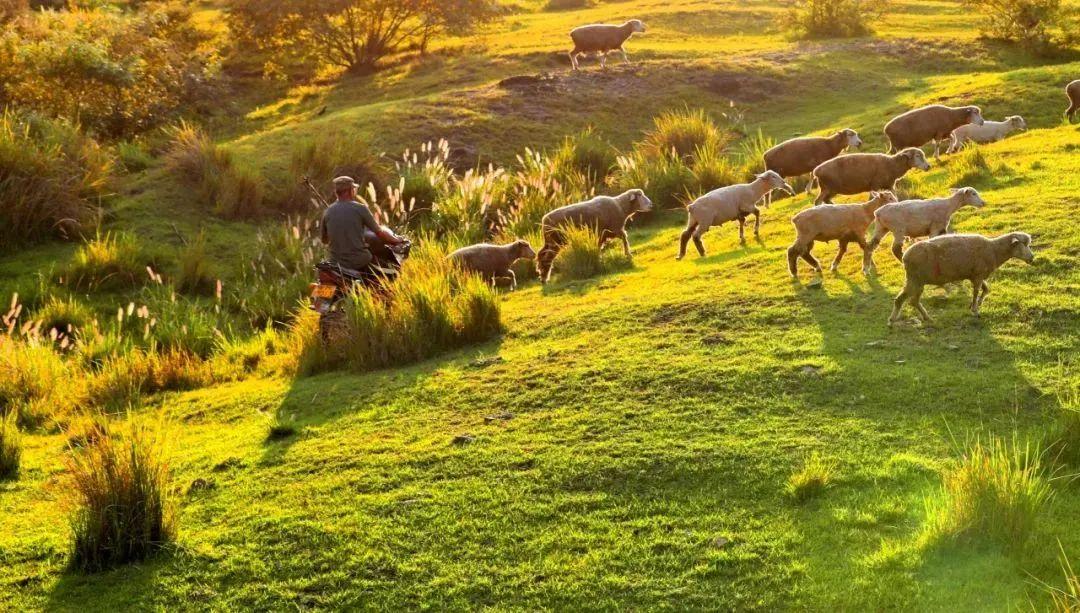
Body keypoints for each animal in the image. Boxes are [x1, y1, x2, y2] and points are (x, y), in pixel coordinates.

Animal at [885, 230, 1036, 325]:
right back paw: (892, 321)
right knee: (901, 300)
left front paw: (976, 304)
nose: (1032, 258)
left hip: (918, 281)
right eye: (1023, 245)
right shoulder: (978, 275)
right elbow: (976, 292)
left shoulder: (976, 275)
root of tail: (905, 257)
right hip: (914, 279)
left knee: (913, 301)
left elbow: (986, 289)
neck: (994, 250)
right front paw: (975, 310)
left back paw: (927, 318)